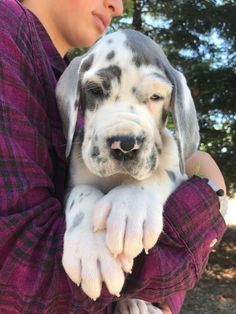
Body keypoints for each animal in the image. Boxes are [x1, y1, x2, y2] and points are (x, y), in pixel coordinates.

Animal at [55, 30, 199, 312]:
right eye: (95, 90)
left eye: (156, 97)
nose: (125, 144)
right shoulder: (71, 182)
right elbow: (83, 191)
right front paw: (91, 249)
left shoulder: (177, 169)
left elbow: (157, 173)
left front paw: (131, 206)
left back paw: (136, 303)